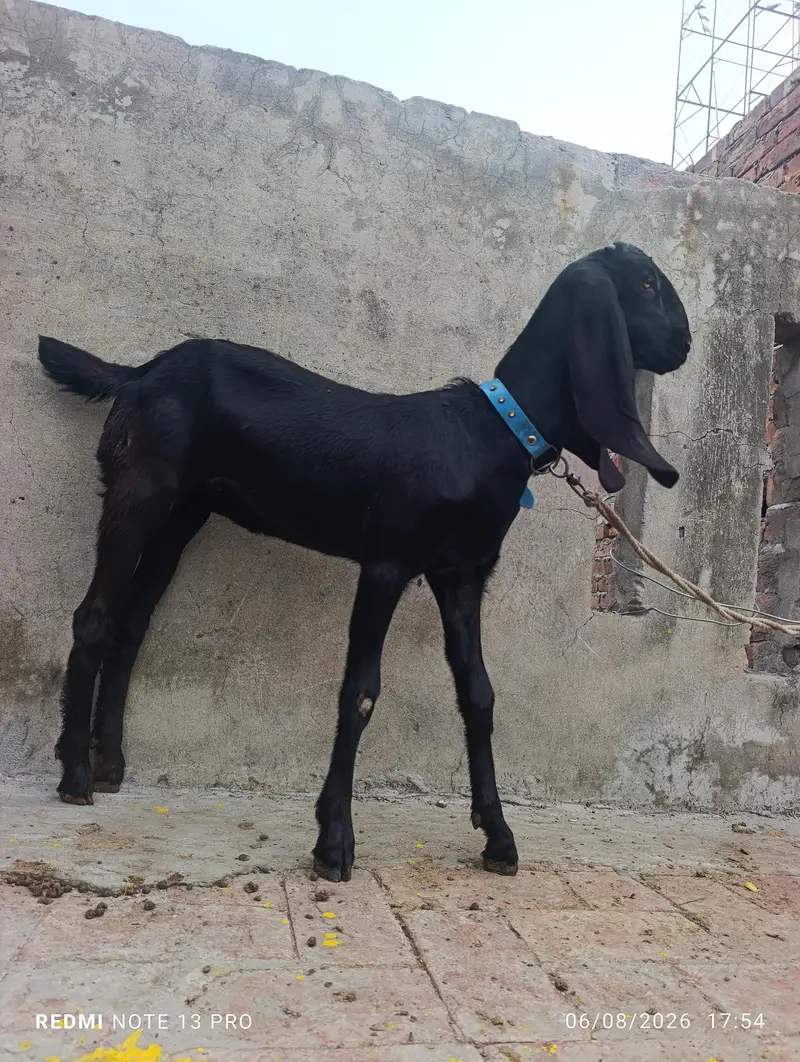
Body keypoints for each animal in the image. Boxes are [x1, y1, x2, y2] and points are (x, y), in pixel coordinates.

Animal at [38, 242, 691, 882]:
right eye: (646, 283)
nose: (684, 345)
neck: (490, 433)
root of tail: (140, 373)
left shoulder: (460, 576)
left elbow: (478, 694)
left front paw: (498, 835)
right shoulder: (387, 564)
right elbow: (360, 692)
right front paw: (333, 841)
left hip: (183, 515)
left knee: (131, 625)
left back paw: (110, 763)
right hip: (139, 488)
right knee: (93, 616)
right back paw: (74, 773)